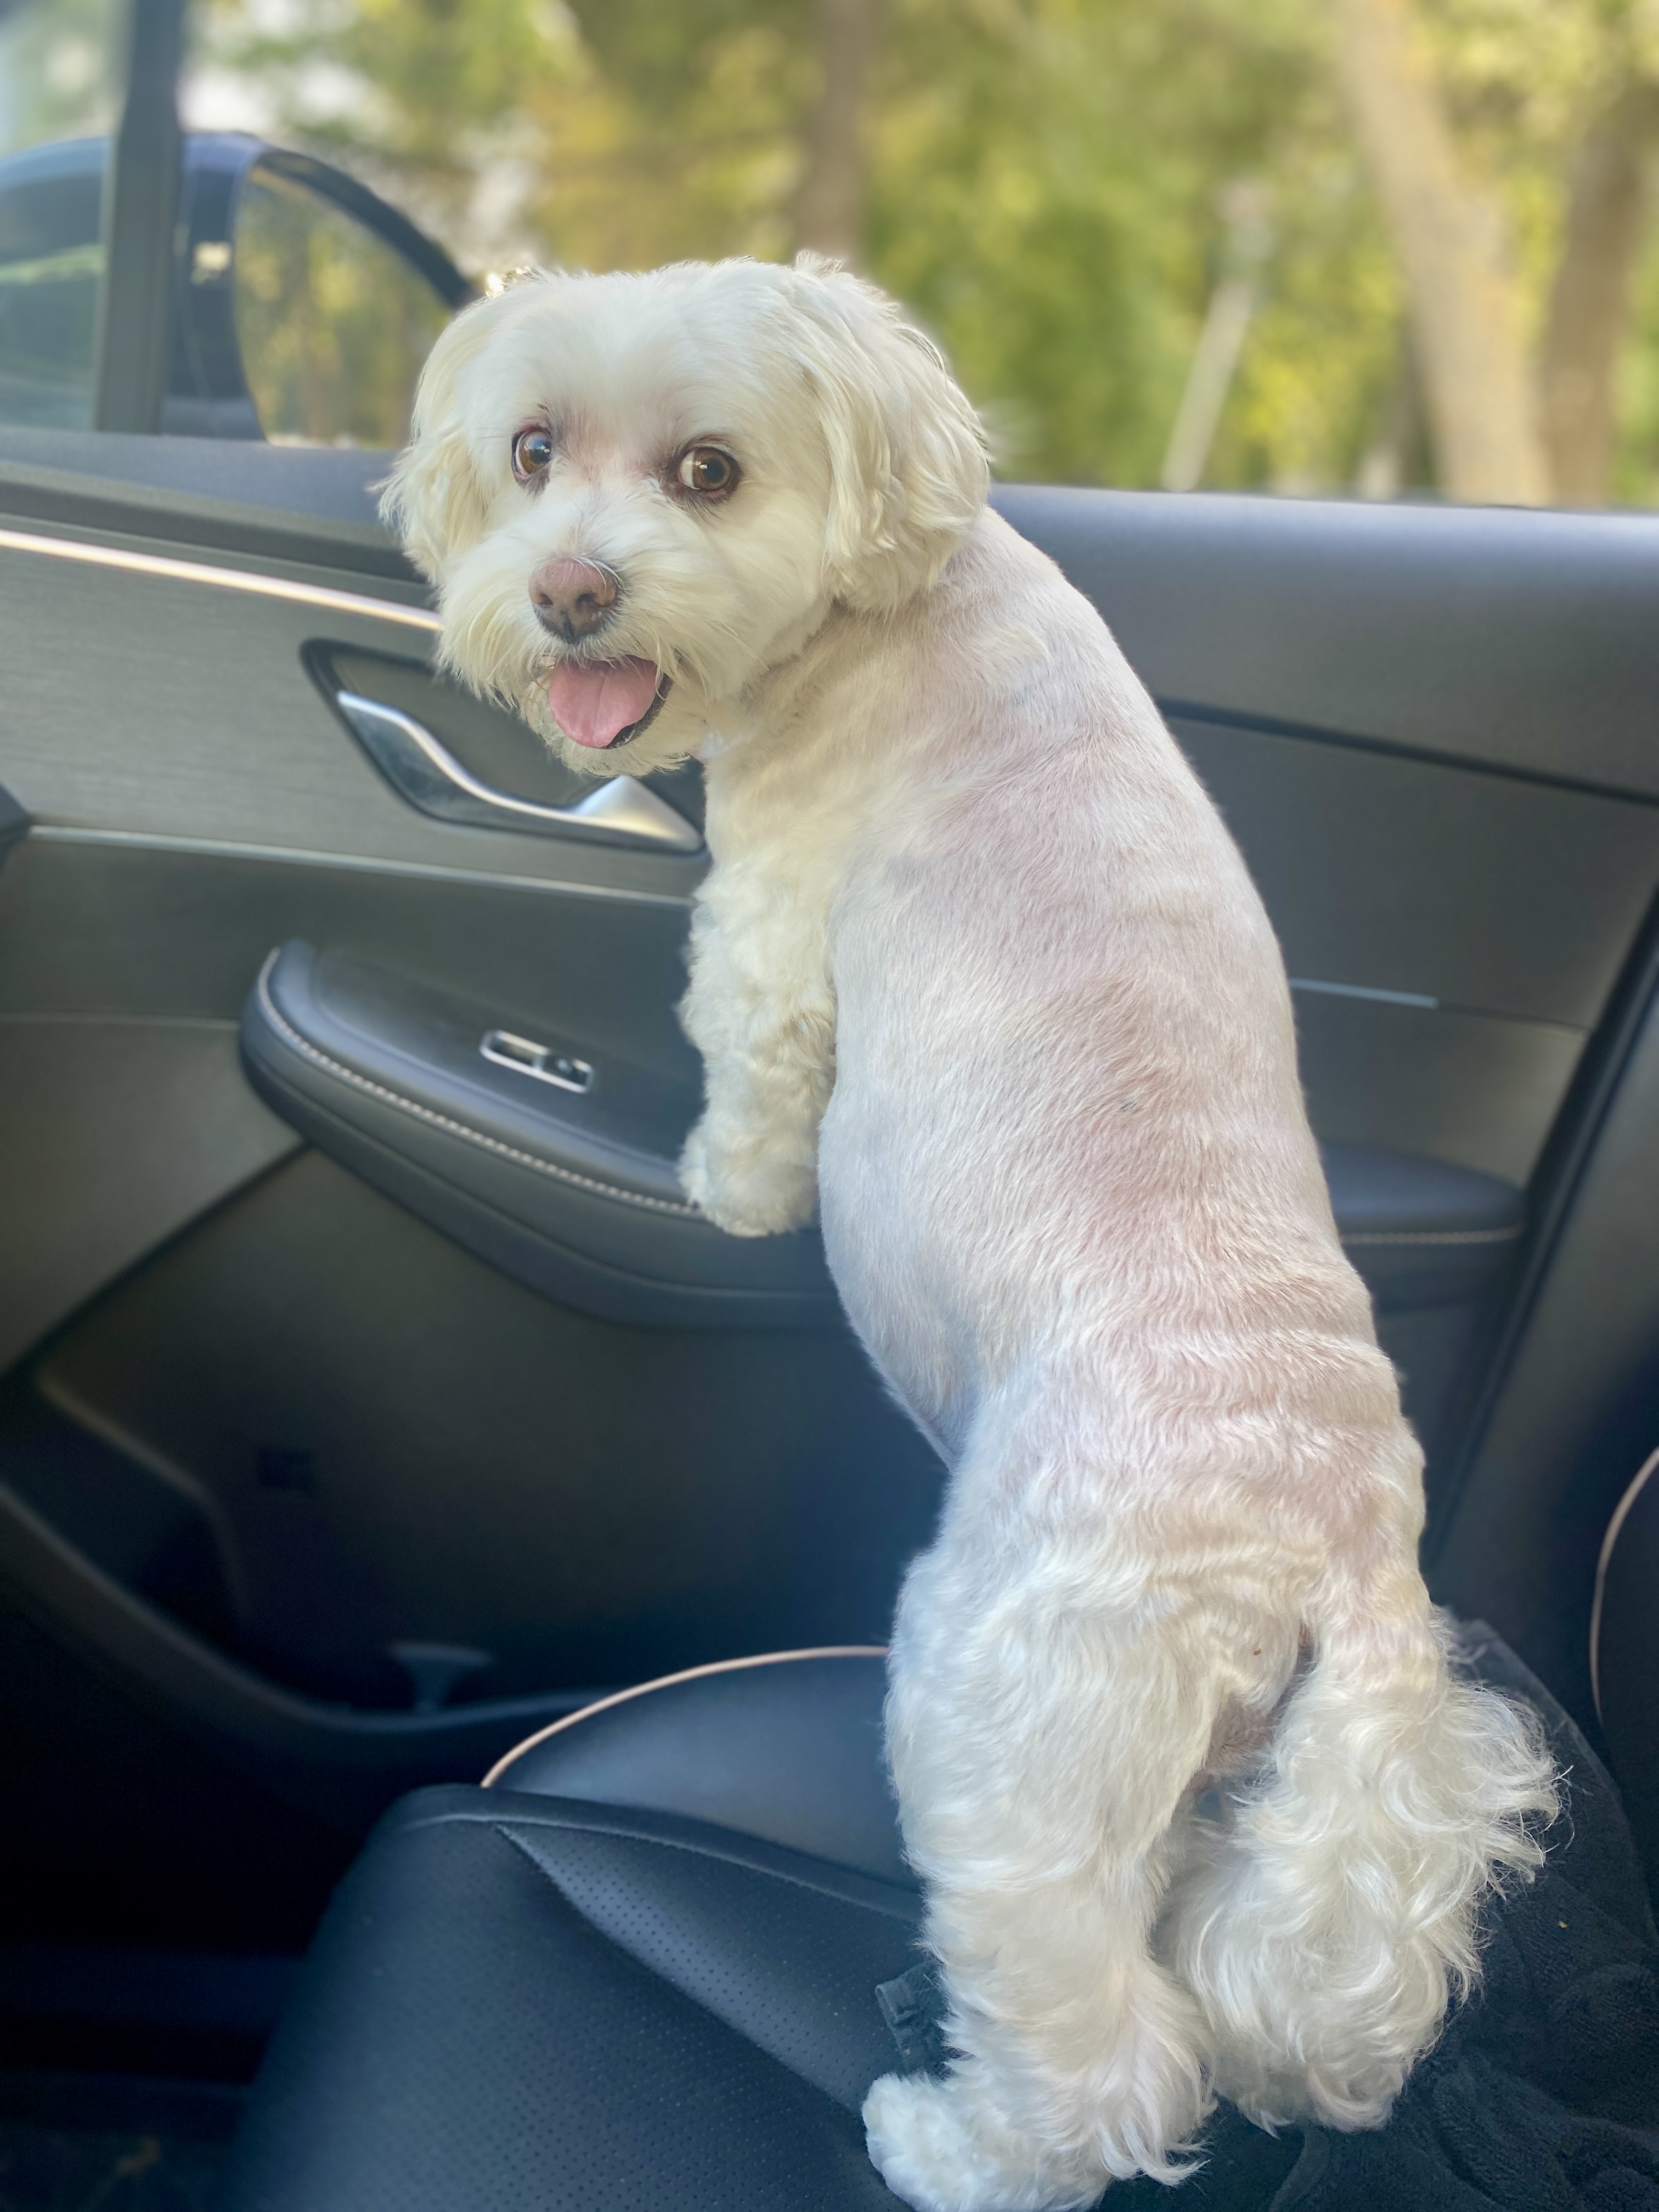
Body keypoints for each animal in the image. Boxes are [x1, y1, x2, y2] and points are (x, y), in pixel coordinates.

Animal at [385, 255, 1558, 2211]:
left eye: (708, 470)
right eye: (533, 451)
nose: (568, 595)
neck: (901, 589)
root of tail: (1332, 1542)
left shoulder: (772, 924)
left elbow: (757, 1062)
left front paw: (729, 1187)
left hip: (1000, 1719)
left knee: (1109, 2054)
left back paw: (944, 2143)